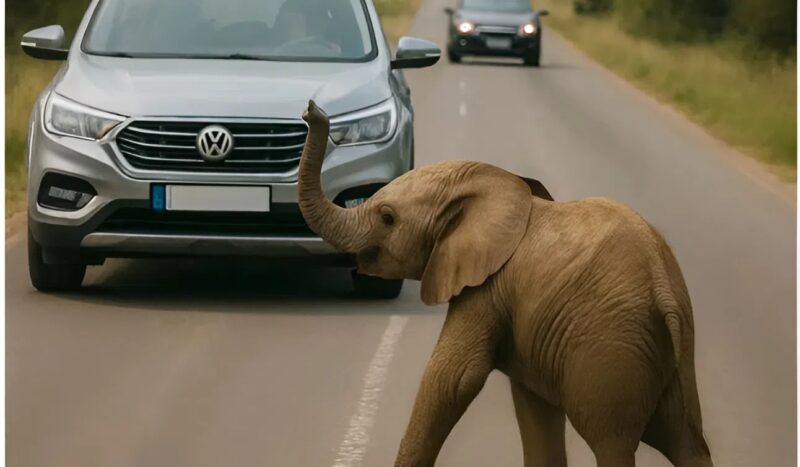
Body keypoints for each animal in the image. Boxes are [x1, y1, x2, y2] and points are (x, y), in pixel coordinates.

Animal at [297, 100, 713, 467]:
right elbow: (533, 405)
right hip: (669, 353)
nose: (312, 109)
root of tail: (663, 290)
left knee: (613, 445)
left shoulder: (487, 287)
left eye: (387, 217)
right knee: (689, 444)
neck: (497, 184)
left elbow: (453, 379)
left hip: (609, 345)